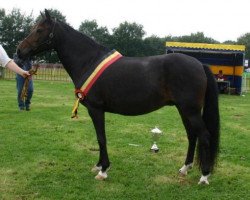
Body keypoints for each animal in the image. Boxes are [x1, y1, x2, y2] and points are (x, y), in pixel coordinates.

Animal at [17, 9, 220, 184]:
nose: (19, 51)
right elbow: (99, 137)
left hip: (190, 110)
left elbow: (101, 137)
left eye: (39, 30)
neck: (88, 61)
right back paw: (185, 168)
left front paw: (103, 170)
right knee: (192, 135)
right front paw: (99, 165)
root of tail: (199, 64)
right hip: (183, 109)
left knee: (204, 136)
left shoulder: (96, 109)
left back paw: (204, 176)